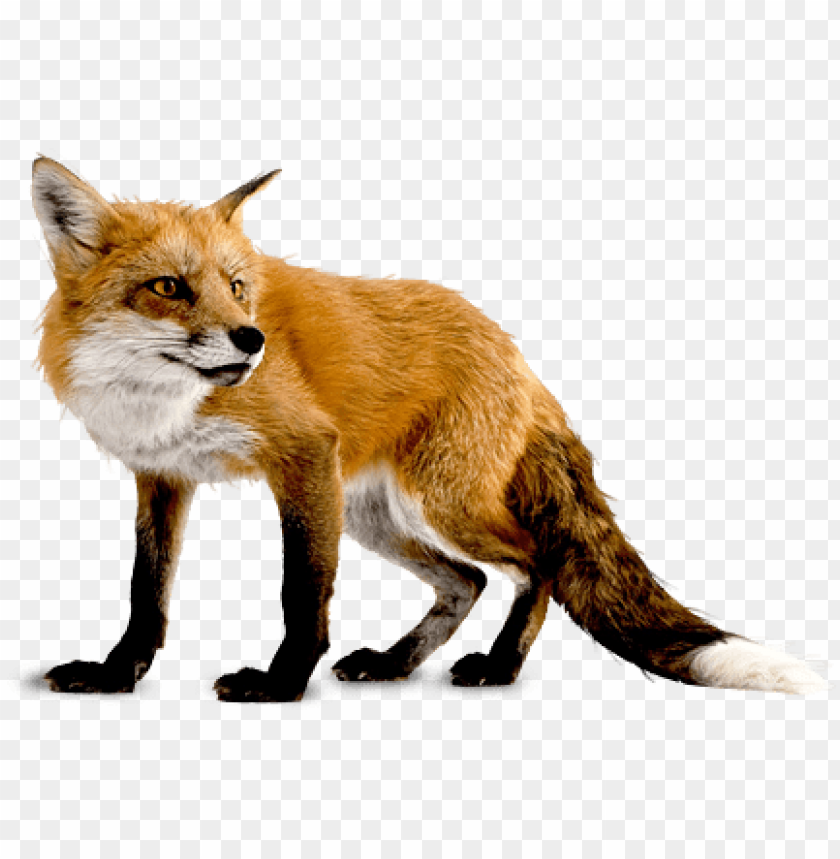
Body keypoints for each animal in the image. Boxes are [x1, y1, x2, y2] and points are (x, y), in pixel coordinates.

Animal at [31, 155, 828, 702]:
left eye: (236, 287)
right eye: (168, 287)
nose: (251, 340)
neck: (160, 399)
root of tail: (514, 353)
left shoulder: (302, 454)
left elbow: (301, 592)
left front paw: (281, 684)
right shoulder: (163, 476)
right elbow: (147, 594)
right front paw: (116, 673)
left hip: (436, 501)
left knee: (534, 562)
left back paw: (501, 666)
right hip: (370, 515)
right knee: (466, 581)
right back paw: (395, 662)